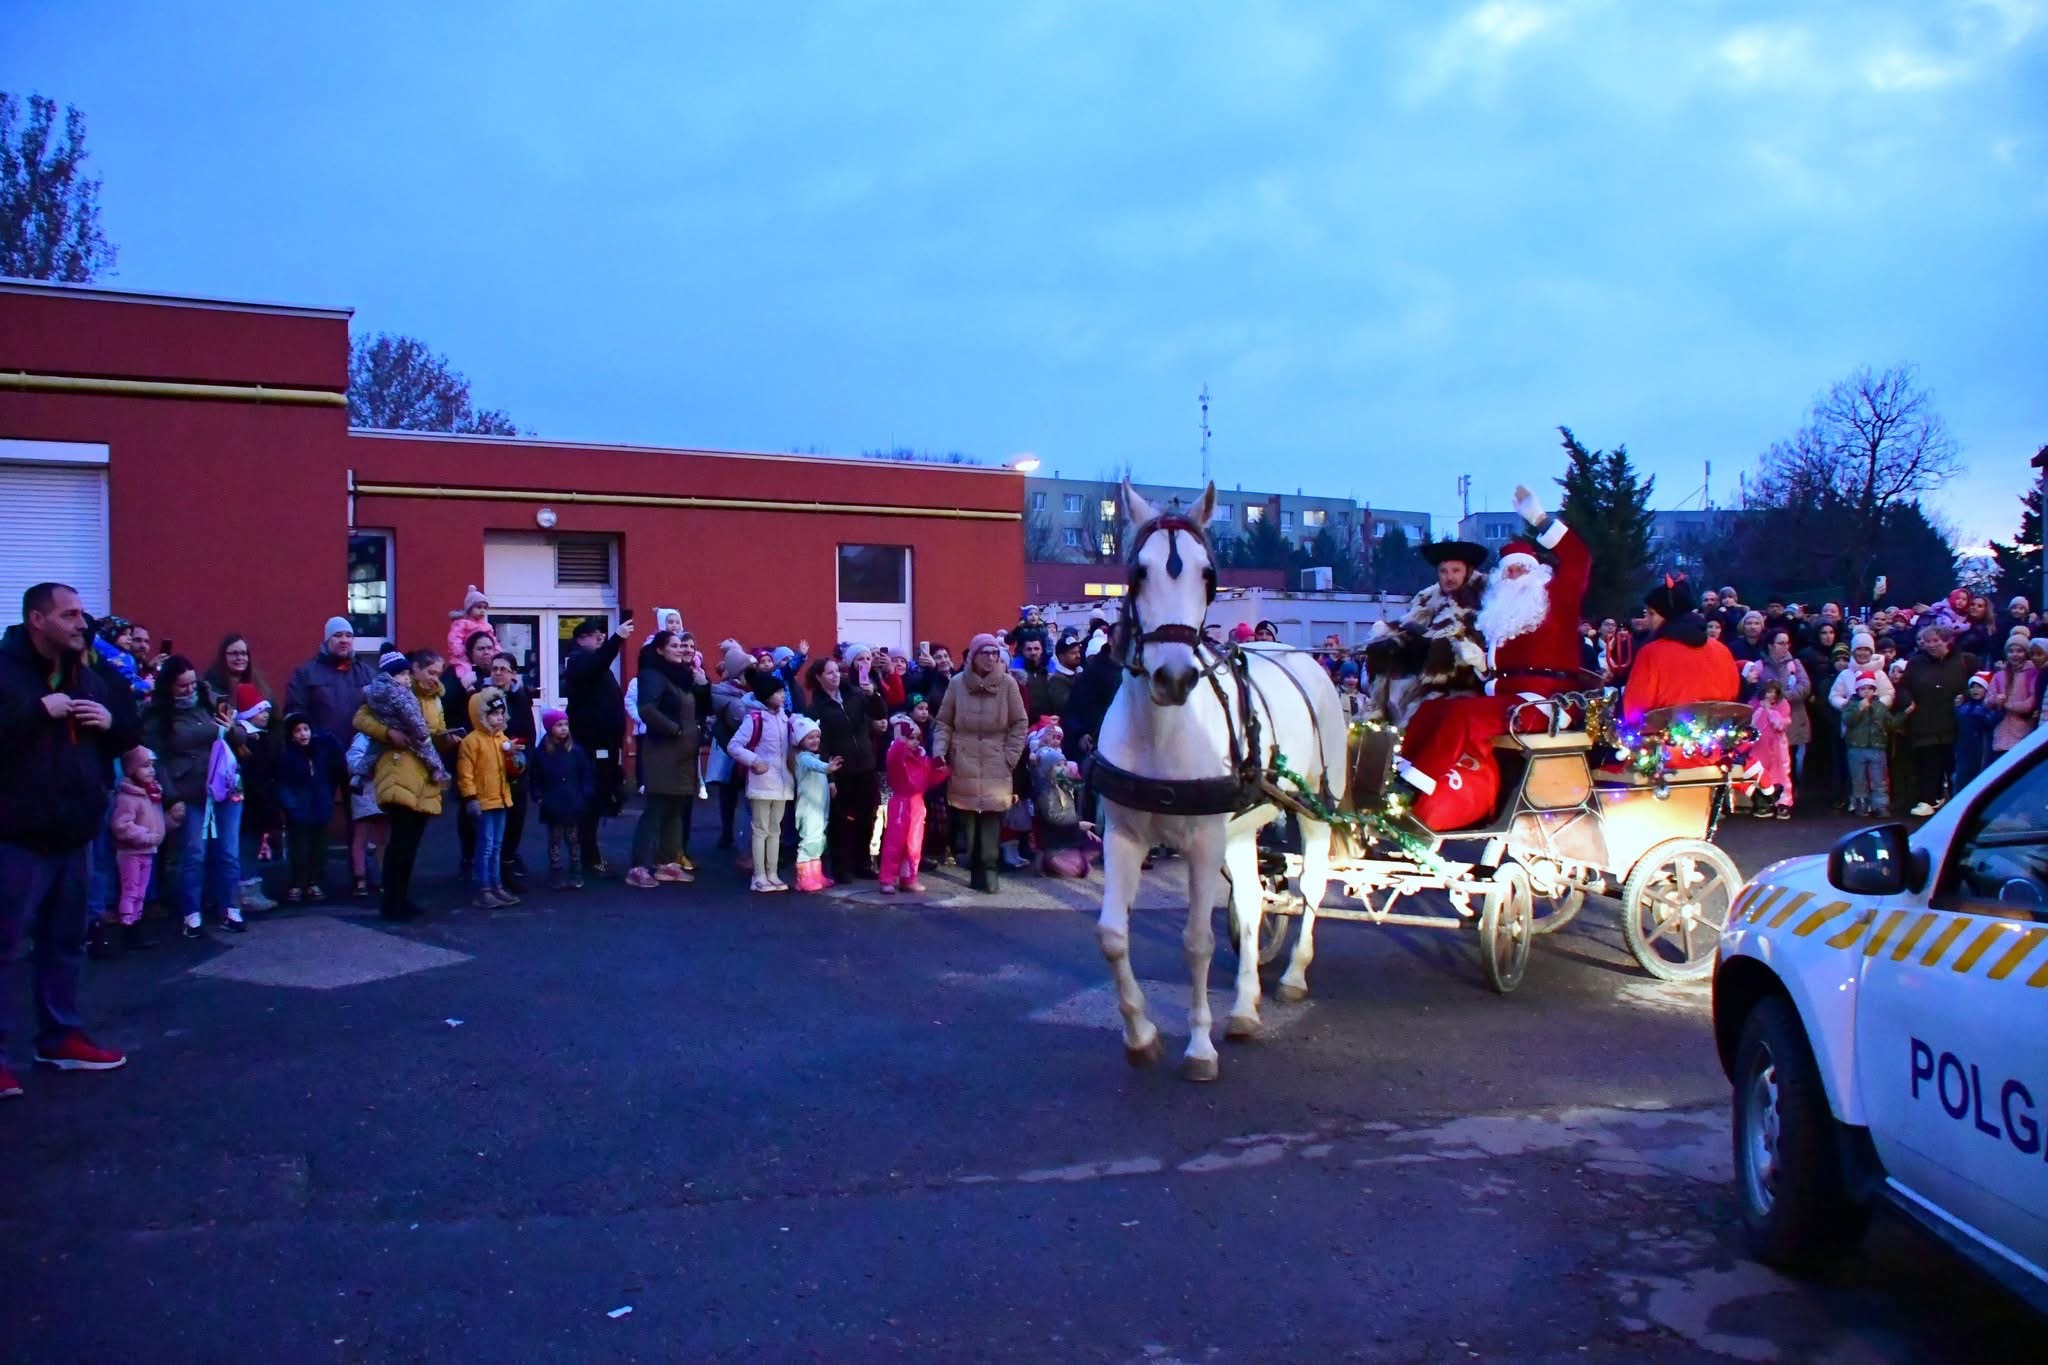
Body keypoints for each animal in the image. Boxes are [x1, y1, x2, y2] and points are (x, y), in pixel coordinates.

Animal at [1097, 485, 1351, 1080]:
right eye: (1137, 572)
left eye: (1208, 575)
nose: (1173, 678)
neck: (1163, 732)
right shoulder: (1124, 837)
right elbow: (1113, 936)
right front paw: (1141, 1035)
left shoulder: (1202, 841)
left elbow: (1197, 942)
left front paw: (1198, 1048)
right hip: (1240, 831)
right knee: (1255, 904)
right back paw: (1243, 1008)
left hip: (1313, 808)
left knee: (1310, 887)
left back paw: (1293, 976)